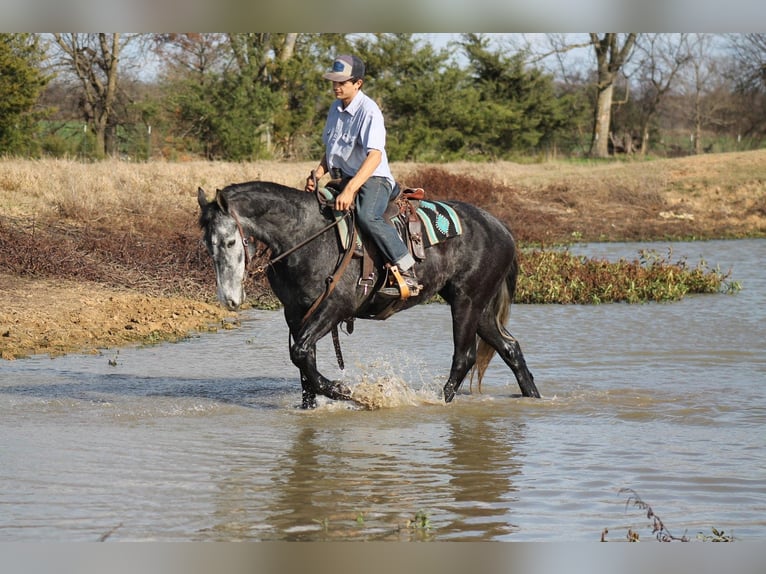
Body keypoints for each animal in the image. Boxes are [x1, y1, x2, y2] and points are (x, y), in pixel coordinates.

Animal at [197, 181, 540, 408]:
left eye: (230, 241)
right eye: (207, 245)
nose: (229, 299)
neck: (306, 237)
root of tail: (501, 228)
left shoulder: (334, 307)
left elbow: (301, 355)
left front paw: (348, 392)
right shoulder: (295, 313)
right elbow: (303, 360)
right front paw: (311, 405)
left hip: (466, 301)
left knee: (464, 356)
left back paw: (439, 402)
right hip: (479, 306)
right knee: (510, 348)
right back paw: (533, 397)